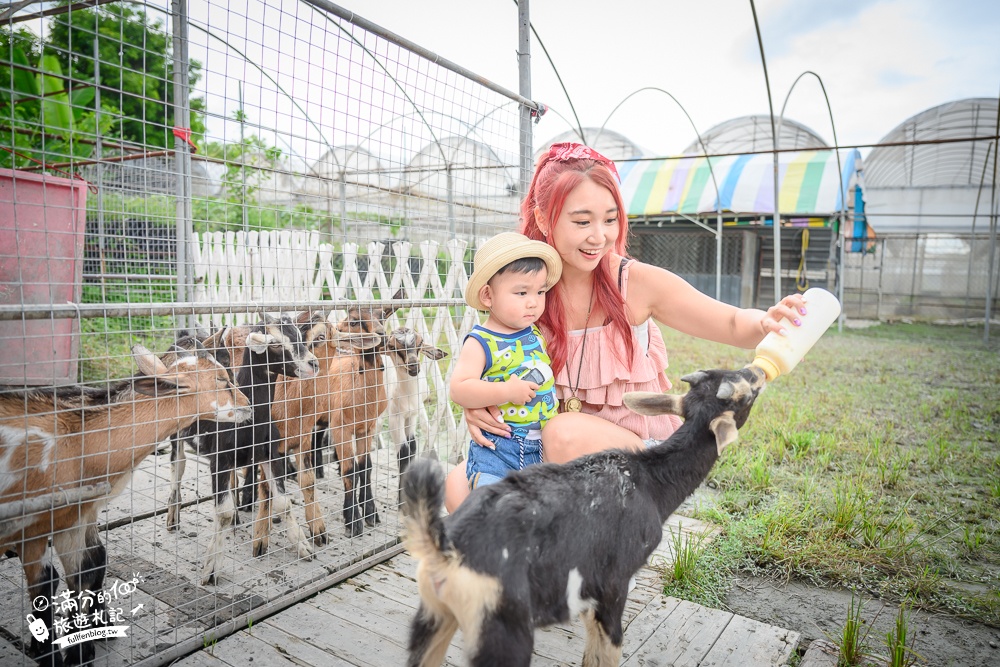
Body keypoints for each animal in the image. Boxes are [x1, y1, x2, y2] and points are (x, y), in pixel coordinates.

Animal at [0, 342, 250, 664]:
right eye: (221, 379)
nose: (248, 405)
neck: (77, 439)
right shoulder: (36, 524)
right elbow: (48, 581)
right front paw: (53, 652)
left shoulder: (74, 516)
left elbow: (88, 567)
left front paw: (85, 646)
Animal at [402, 366, 768, 667]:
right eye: (745, 393)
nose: (758, 371)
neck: (650, 483)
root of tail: (445, 548)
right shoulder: (614, 580)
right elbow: (610, 648)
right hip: (503, 626)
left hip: (434, 614)